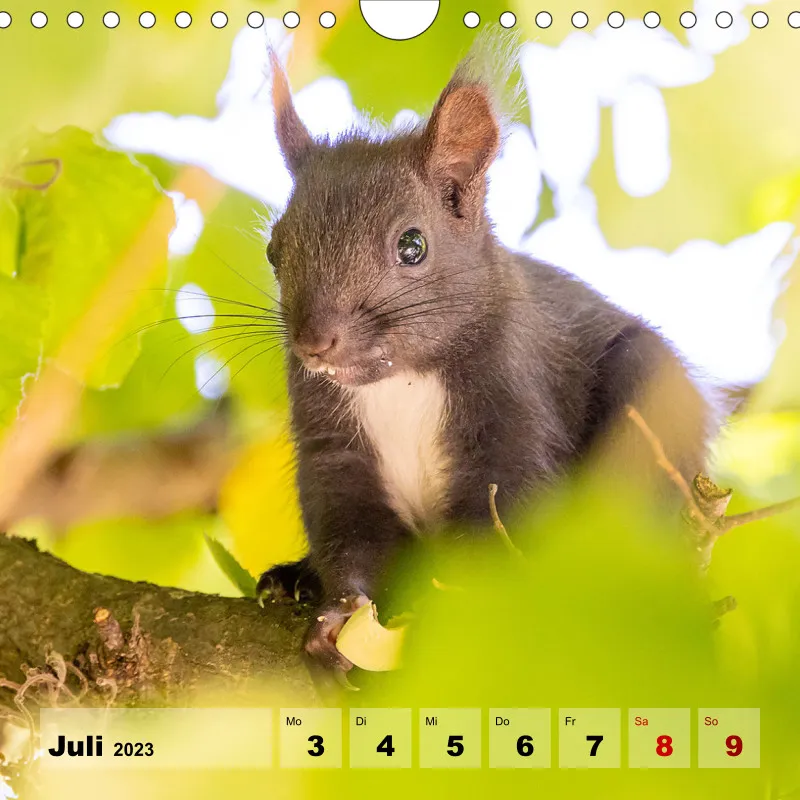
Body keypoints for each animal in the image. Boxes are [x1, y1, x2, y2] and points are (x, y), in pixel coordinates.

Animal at [256, 42, 712, 673]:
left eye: (413, 246)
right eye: (274, 251)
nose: (315, 342)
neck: (400, 381)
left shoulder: (513, 410)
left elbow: (496, 517)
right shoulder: (332, 444)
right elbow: (349, 529)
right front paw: (337, 615)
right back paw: (293, 580)